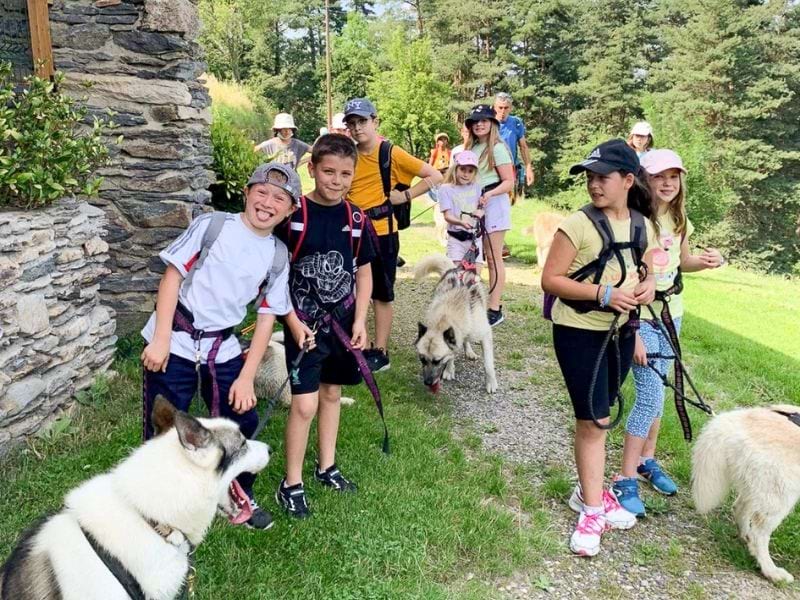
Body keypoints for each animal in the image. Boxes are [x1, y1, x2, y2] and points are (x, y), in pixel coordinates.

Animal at [416, 253, 496, 394]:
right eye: (422, 359)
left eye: (437, 361)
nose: (427, 382)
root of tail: (456, 269)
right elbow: (451, 354)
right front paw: (449, 369)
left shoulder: (485, 334)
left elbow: (488, 363)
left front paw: (491, 382)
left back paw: (469, 352)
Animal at [692, 406, 796, 584]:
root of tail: (738, 418)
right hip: (780, 495)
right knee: (759, 534)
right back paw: (771, 571)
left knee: (740, 508)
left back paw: (745, 537)